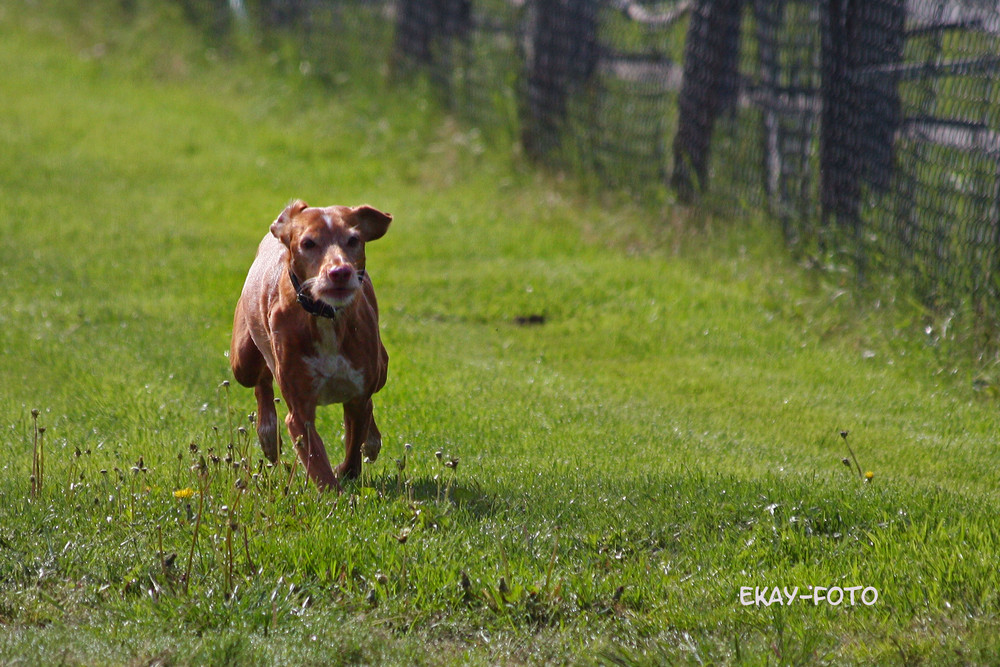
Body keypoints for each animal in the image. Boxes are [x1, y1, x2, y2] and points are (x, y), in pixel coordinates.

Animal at [232, 198, 392, 490]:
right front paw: (334, 491)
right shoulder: (299, 410)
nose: (340, 272)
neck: (326, 316)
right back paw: (268, 435)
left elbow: (354, 444)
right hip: (243, 360)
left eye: (354, 239)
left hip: (382, 368)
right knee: (260, 381)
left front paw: (348, 469)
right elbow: (317, 461)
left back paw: (372, 441)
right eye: (308, 243)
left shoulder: (358, 394)